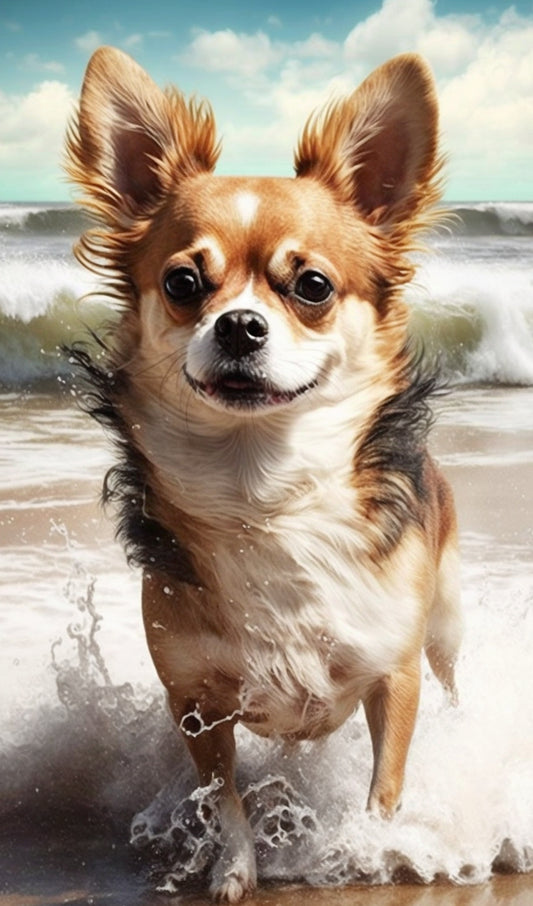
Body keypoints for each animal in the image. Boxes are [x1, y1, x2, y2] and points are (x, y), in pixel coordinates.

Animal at [67, 49, 462, 904]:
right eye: (183, 284)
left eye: (310, 286)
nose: (240, 325)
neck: (261, 491)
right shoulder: (195, 704)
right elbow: (226, 797)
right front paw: (234, 867)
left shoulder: (394, 678)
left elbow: (383, 789)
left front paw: (373, 853)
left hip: (445, 629)